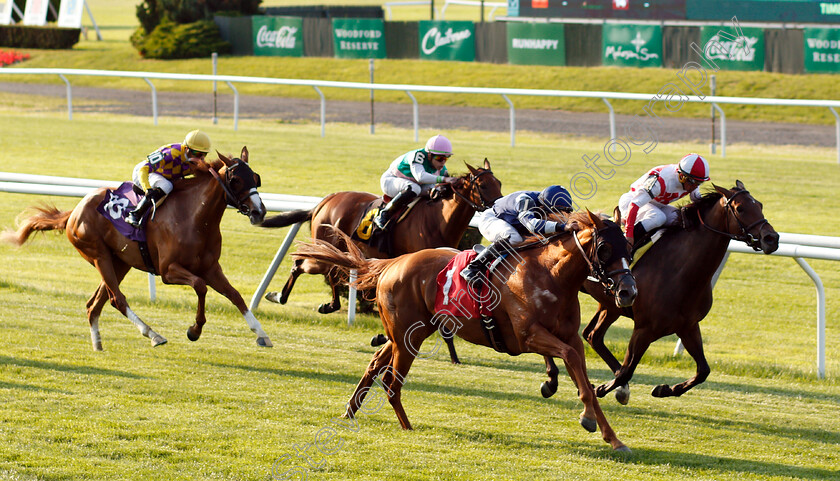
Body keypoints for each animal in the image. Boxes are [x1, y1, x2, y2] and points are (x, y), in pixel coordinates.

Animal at [1, 148, 272, 350]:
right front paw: (194, 330)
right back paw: (153, 334)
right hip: (99, 255)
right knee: (117, 299)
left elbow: (235, 295)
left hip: (120, 262)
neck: (195, 217)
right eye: (236, 180)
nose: (259, 212)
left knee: (95, 304)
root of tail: (74, 212)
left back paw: (98, 343)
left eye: (256, 178)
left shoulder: (210, 267)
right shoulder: (168, 271)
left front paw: (261, 334)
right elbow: (200, 286)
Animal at [260, 158, 502, 316]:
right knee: (304, 265)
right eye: (482, 185)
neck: (438, 218)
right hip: (324, 246)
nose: (499, 205)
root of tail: (325, 201)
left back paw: (326, 304)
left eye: (499, 183)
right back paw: (281, 296)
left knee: (331, 271)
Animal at [294, 212, 636, 452]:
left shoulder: (571, 337)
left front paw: (613, 437)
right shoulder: (528, 336)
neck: (551, 276)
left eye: (630, 248)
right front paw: (586, 416)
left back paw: (350, 411)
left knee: (376, 362)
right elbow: (570, 361)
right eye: (604, 248)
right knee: (392, 382)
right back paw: (407, 426)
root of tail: (393, 263)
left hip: (408, 333)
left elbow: (583, 376)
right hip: (409, 337)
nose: (628, 292)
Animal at [540, 182, 780, 404]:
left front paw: (664, 389)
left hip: (611, 305)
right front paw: (603, 388)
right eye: (740, 208)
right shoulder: (645, 328)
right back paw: (553, 379)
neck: (680, 270)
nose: (772, 238)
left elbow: (703, 370)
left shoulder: (687, 325)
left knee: (593, 335)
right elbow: (627, 370)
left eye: (759, 205)